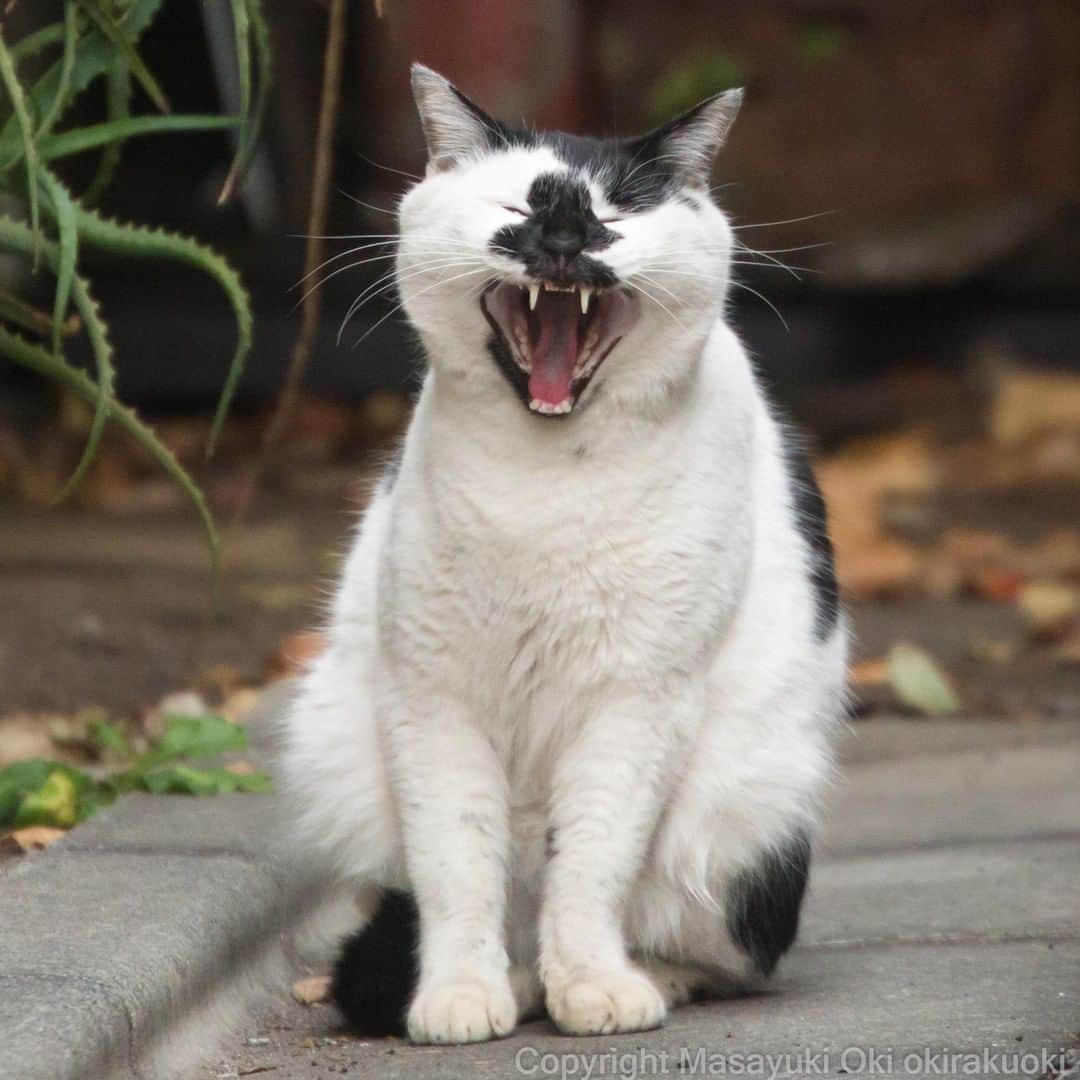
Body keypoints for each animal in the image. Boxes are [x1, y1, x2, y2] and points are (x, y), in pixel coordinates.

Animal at [280, 63, 851, 1041]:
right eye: (517, 204)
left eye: (614, 216)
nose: (562, 240)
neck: (543, 485)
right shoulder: (432, 697)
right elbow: (456, 866)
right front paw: (458, 995)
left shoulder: (638, 699)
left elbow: (591, 859)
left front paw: (595, 987)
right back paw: (513, 982)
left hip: (749, 820)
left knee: (722, 953)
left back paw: (643, 977)